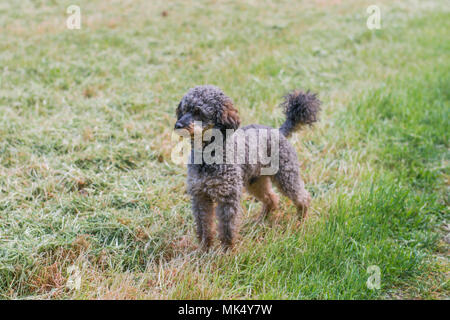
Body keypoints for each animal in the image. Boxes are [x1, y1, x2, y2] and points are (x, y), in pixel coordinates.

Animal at [174, 85, 322, 250]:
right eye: (184, 110)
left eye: (198, 112)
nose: (178, 125)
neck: (208, 156)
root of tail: (278, 132)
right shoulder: (199, 196)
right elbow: (204, 226)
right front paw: (204, 249)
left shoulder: (228, 197)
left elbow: (227, 228)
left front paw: (226, 251)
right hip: (255, 182)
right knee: (271, 199)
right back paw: (261, 221)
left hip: (286, 176)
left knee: (303, 197)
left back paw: (300, 222)